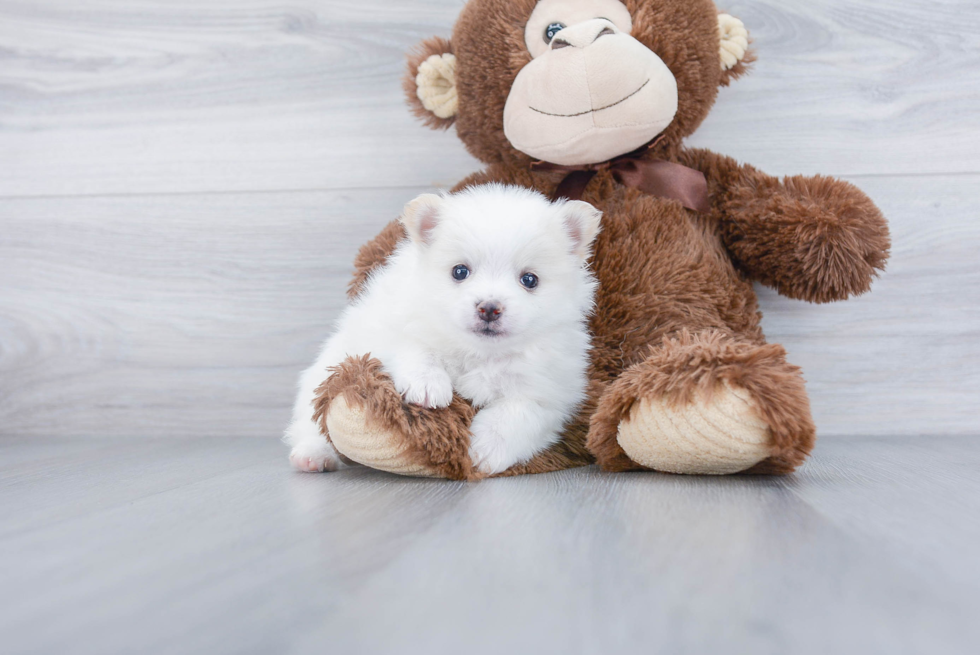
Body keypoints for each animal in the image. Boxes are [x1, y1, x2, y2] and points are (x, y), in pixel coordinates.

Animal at [288, 184, 600, 476]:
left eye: (530, 280)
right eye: (460, 271)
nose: (489, 308)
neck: (480, 353)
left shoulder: (550, 392)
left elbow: (518, 414)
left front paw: (486, 448)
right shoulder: (394, 324)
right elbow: (415, 347)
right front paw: (427, 384)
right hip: (323, 374)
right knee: (312, 422)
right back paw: (313, 455)